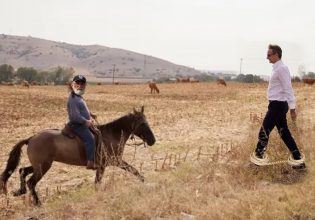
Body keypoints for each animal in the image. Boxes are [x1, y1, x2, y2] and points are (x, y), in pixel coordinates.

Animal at [0, 106, 156, 205]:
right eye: (143, 123)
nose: (153, 140)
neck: (111, 135)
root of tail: (31, 138)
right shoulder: (113, 162)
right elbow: (132, 170)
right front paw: (144, 181)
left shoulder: (108, 164)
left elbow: (102, 180)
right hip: (42, 167)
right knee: (31, 182)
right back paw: (38, 203)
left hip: (39, 165)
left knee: (22, 171)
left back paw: (20, 191)